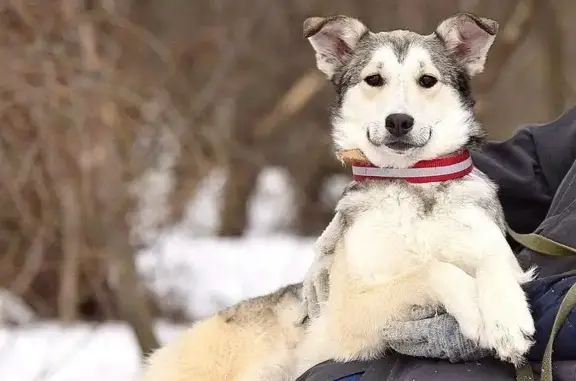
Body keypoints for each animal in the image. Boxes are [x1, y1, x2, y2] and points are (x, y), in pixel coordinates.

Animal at [138, 11, 536, 380]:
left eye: (427, 80)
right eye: (374, 79)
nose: (399, 121)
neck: (412, 182)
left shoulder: (492, 247)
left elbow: (494, 266)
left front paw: (506, 319)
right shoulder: (349, 311)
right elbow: (433, 271)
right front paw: (473, 309)